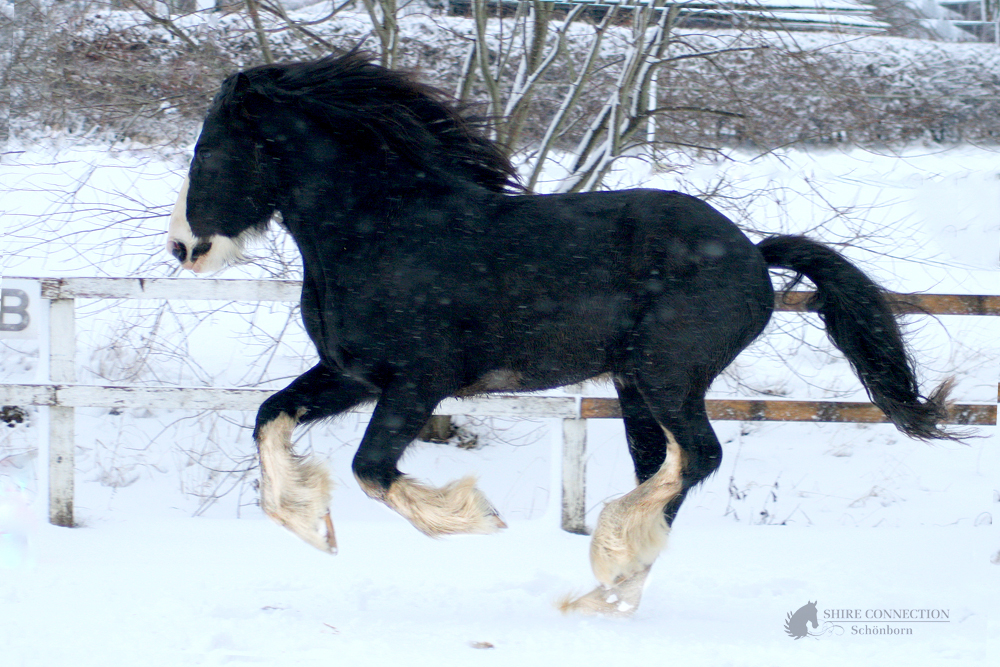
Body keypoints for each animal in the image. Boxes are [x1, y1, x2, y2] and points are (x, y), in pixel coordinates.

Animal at [166, 53, 952, 620]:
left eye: (207, 151)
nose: (182, 249)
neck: (381, 230)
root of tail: (754, 254)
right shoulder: (351, 375)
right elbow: (270, 418)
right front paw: (313, 525)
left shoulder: (418, 381)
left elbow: (372, 468)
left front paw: (478, 517)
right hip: (635, 386)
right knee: (665, 470)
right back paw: (609, 589)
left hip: (667, 375)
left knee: (698, 456)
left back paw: (609, 556)